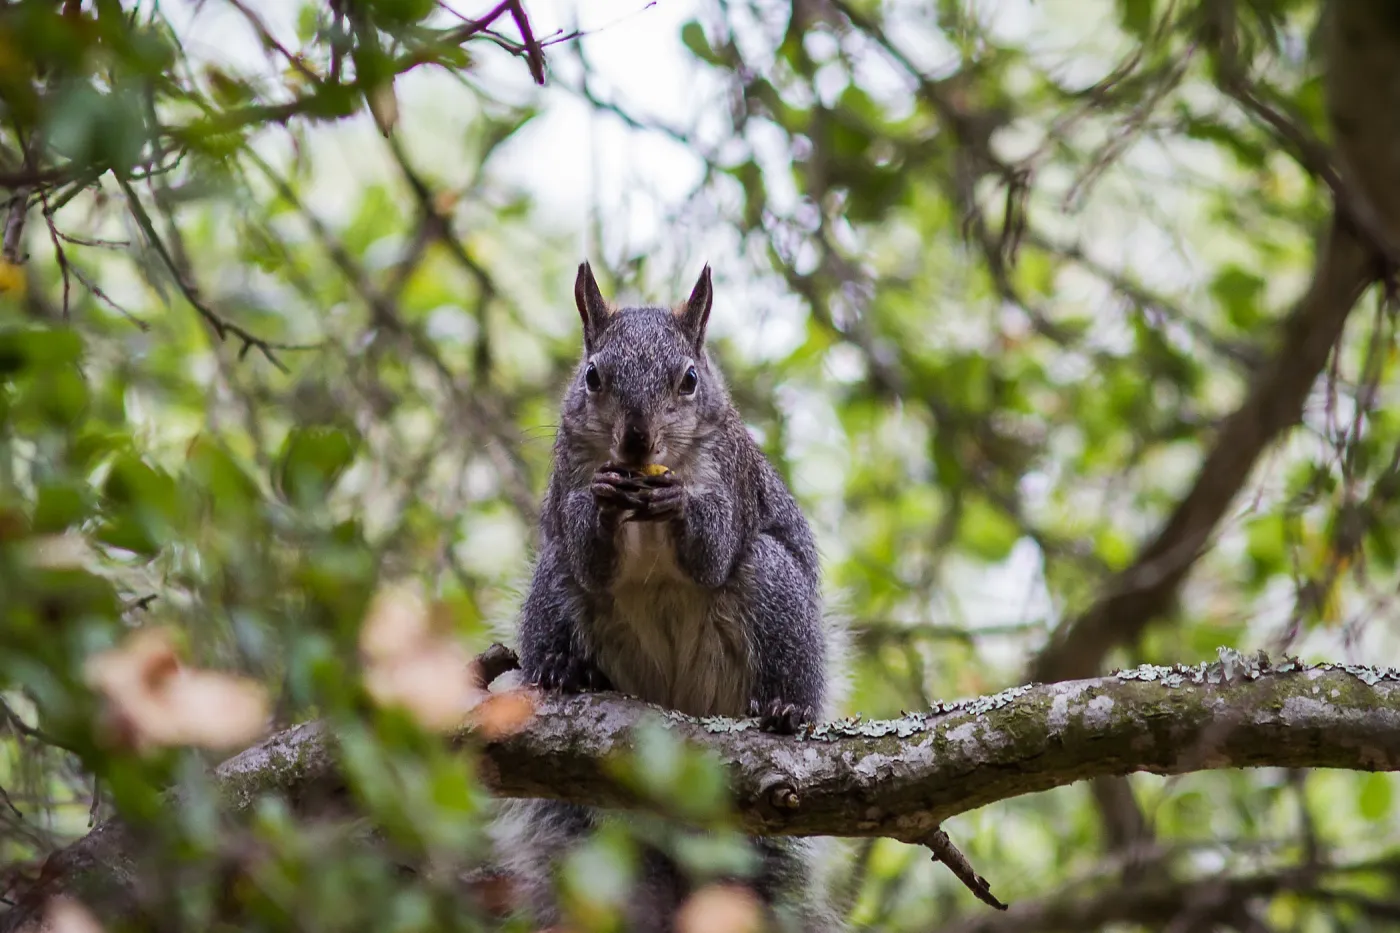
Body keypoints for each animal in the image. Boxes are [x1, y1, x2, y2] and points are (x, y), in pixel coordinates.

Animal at [491, 262, 846, 933]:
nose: (636, 441)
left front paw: (680, 503)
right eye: (593, 375)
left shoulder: (733, 481)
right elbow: (590, 555)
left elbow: (712, 551)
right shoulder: (569, 481)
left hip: (774, 589)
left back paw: (786, 710)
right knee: (562, 582)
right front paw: (601, 505)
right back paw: (563, 671)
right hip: (552, 585)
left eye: (688, 379)